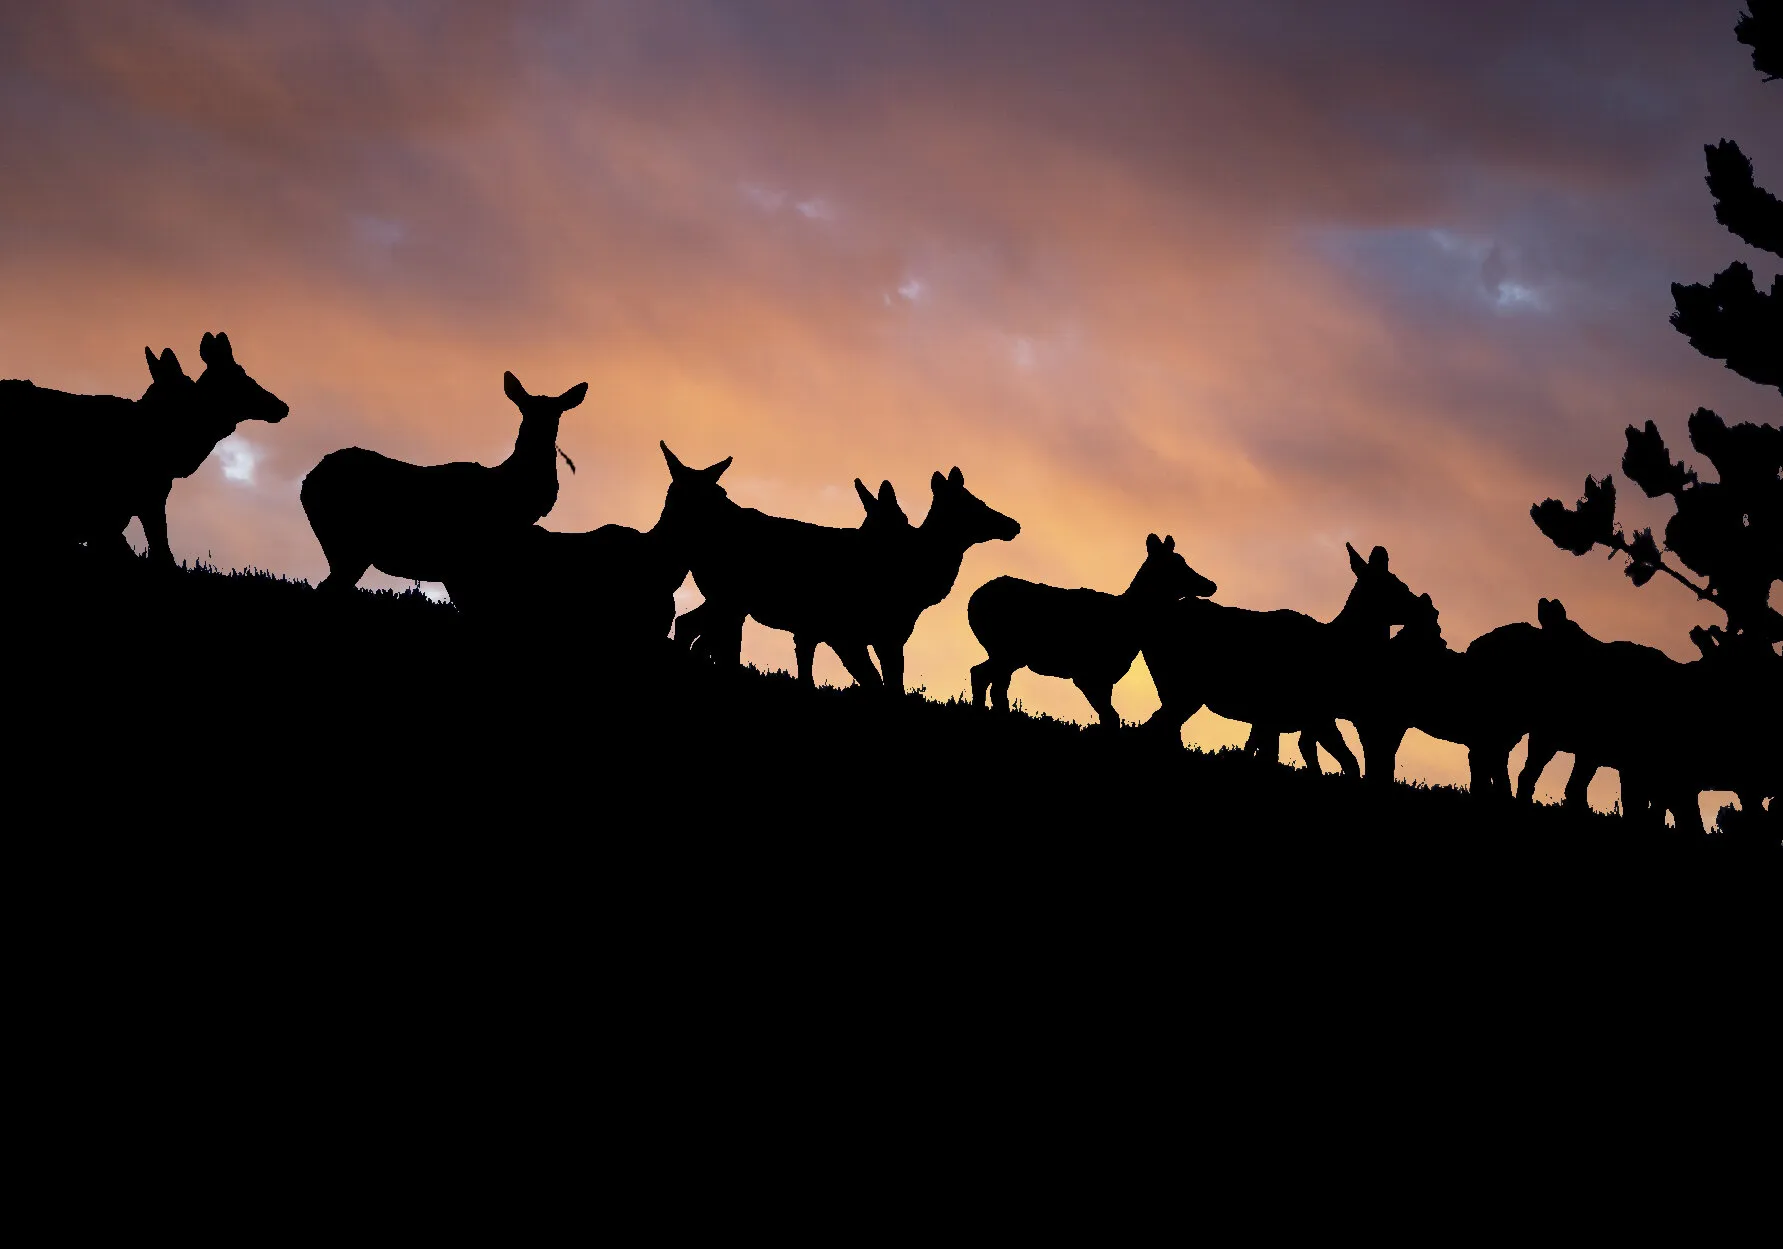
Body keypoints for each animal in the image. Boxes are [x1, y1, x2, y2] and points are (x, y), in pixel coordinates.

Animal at [669, 457, 1021, 692]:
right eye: (975, 504)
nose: (1013, 524)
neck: (918, 584)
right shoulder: (851, 634)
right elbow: (882, 685)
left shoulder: (858, 635)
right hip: (730, 599)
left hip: (725, 599)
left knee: (689, 626)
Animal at [967, 534, 1217, 729]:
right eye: (1177, 565)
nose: (1211, 584)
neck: (1130, 624)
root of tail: (973, 600)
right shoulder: (1086, 673)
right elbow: (1111, 717)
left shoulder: (1107, 678)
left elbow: (1109, 717)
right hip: (1006, 649)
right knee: (981, 675)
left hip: (1008, 654)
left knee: (990, 680)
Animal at [1141, 542, 1427, 776]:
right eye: (1396, 585)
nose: (1423, 605)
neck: (1338, 648)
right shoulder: (1311, 714)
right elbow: (1347, 763)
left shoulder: (1295, 718)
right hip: (1185, 688)